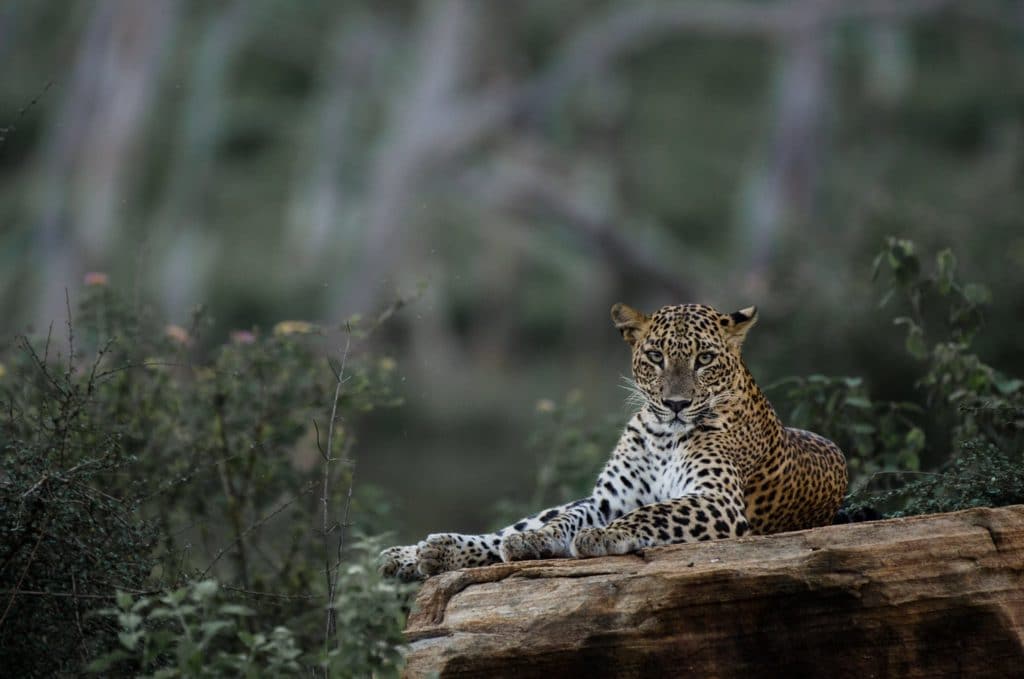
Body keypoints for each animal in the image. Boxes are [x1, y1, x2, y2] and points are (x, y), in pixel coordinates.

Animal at [379, 302, 848, 581]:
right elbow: (565, 522)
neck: (663, 436)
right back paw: (421, 553)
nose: (676, 403)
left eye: (705, 359)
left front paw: (602, 537)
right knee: (506, 532)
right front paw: (540, 541)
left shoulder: (716, 500)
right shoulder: (606, 499)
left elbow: (654, 512)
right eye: (656, 356)